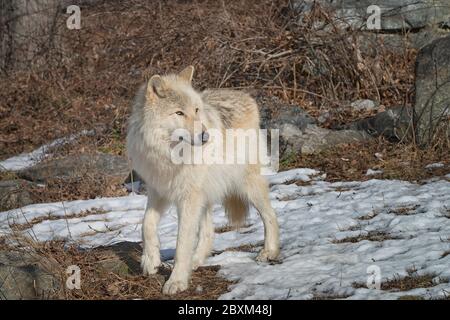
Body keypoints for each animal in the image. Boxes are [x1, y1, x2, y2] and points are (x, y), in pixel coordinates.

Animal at [126, 65, 280, 296]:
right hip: (204, 194)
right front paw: (150, 261)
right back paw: (196, 261)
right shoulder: (159, 190)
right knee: (208, 232)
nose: (206, 136)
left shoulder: (187, 198)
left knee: (271, 216)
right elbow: (147, 224)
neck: (168, 156)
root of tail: (245, 95)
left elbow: (182, 243)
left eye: (196, 110)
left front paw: (177, 281)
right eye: (179, 113)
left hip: (245, 186)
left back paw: (269, 251)